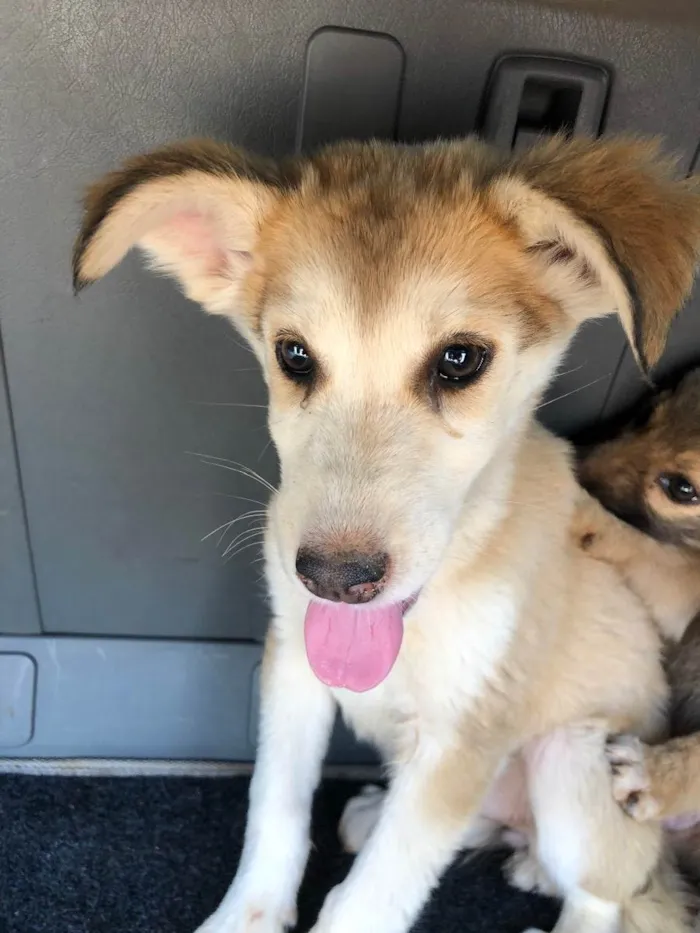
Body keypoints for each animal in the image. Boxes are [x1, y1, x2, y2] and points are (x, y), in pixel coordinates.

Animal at [72, 137, 700, 932]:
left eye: (460, 359)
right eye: (294, 355)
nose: (336, 579)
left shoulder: (463, 739)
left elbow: (372, 895)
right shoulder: (292, 666)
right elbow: (274, 812)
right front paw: (246, 914)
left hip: (576, 757)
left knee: (602, 894)